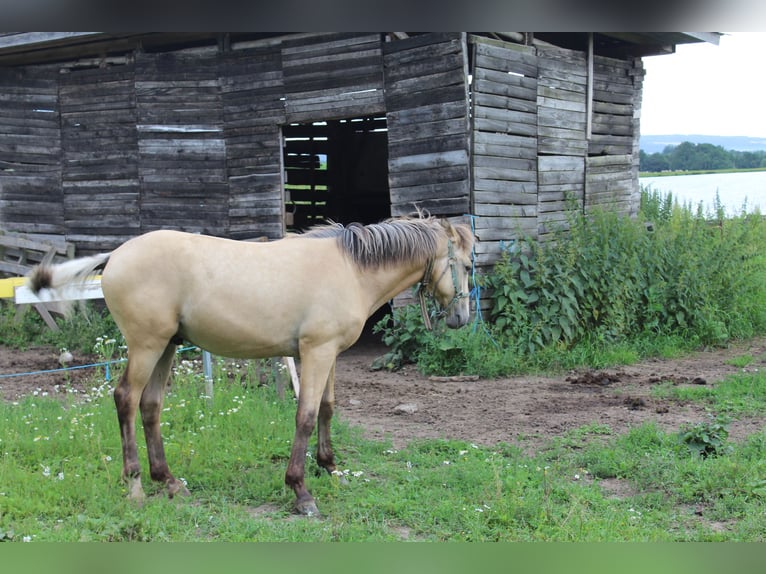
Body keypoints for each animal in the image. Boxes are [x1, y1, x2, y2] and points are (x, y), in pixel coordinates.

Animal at [28, 215, 474, 516]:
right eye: (468, 266)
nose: (461, 319)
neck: (350, 269)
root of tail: (116, 254)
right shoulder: (315, 352)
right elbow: (305, 416)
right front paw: (301, 491)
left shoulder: (329, 354)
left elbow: (327, 409)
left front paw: (330, 467)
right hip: (146, 346)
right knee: (125, 399)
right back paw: (136, 486)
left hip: (166, 347)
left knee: (150, 406)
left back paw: (169, 483)